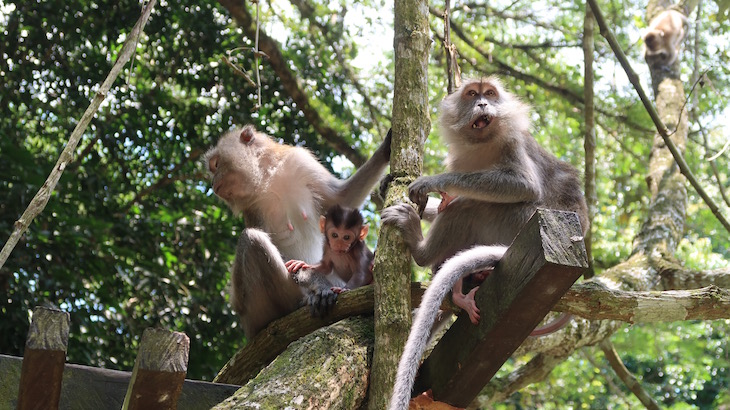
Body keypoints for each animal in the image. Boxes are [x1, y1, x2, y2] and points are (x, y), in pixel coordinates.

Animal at [202, 125, 390, 340]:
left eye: (216, 164)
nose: (213, 184)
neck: (268, 178)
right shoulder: (253, 207)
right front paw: (317, 282)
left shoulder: (301, 162)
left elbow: (341, 198)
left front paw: (385, 150)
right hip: (252, 313)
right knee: (252, 239)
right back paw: (303, 301)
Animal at [382, 77, 584, 410]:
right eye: (471, 94)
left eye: (490, 93)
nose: (482, 103)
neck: (481, 143)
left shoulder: (513, 144)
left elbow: (523, 185)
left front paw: (434, 181)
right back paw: (459, 287)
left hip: (512, 224)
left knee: (468, 205)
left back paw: (420, 248)